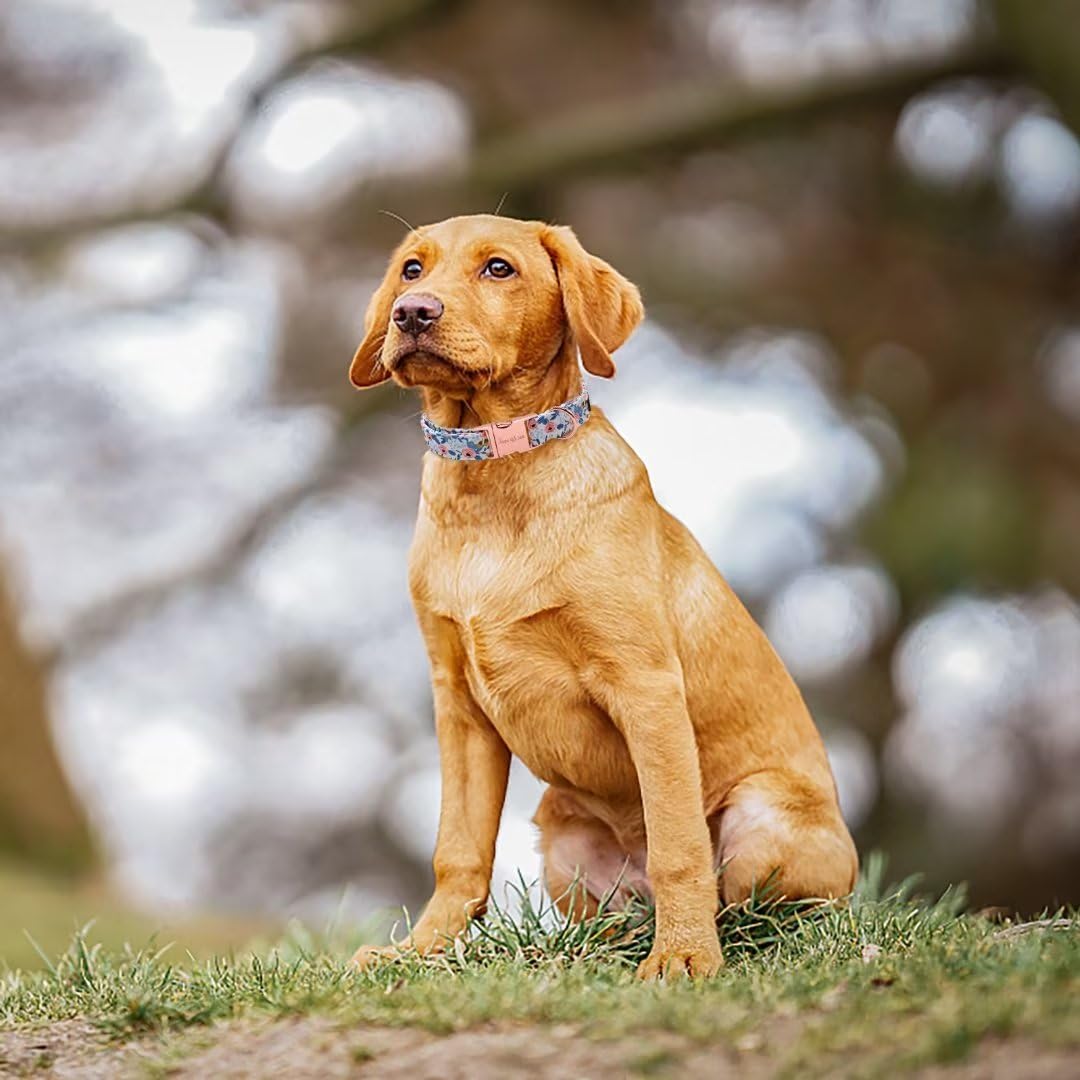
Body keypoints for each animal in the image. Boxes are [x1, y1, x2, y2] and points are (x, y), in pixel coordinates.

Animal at [345, 212, 851, 980]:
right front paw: (421, 951)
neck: (494, 473)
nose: (412, 313)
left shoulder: (645, 685)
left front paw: (683, 957)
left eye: (499, 268)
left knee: (757, 909)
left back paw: (708, 936)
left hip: (762, 814)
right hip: (562, 837)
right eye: (411, 270)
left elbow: (678, 846)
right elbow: (457, 850)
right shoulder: (457, 704)